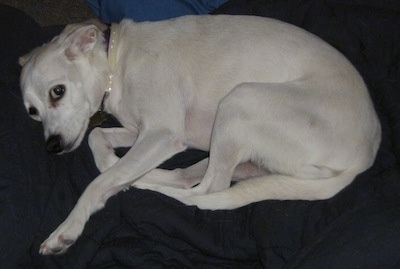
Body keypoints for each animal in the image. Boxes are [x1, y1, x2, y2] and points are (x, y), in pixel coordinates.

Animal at [19, 14, 382, 253]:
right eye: (32, 112)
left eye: (57, 91)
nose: (52, 146)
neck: (116, 62)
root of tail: (365, 157)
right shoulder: (139, 132)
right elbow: (97, 139)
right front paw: (111, 162)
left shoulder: (162, 134)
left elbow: (98, 182)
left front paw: (68, 227)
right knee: (192, 177)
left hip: (241, 99)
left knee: (206, 190)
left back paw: (141, 186)